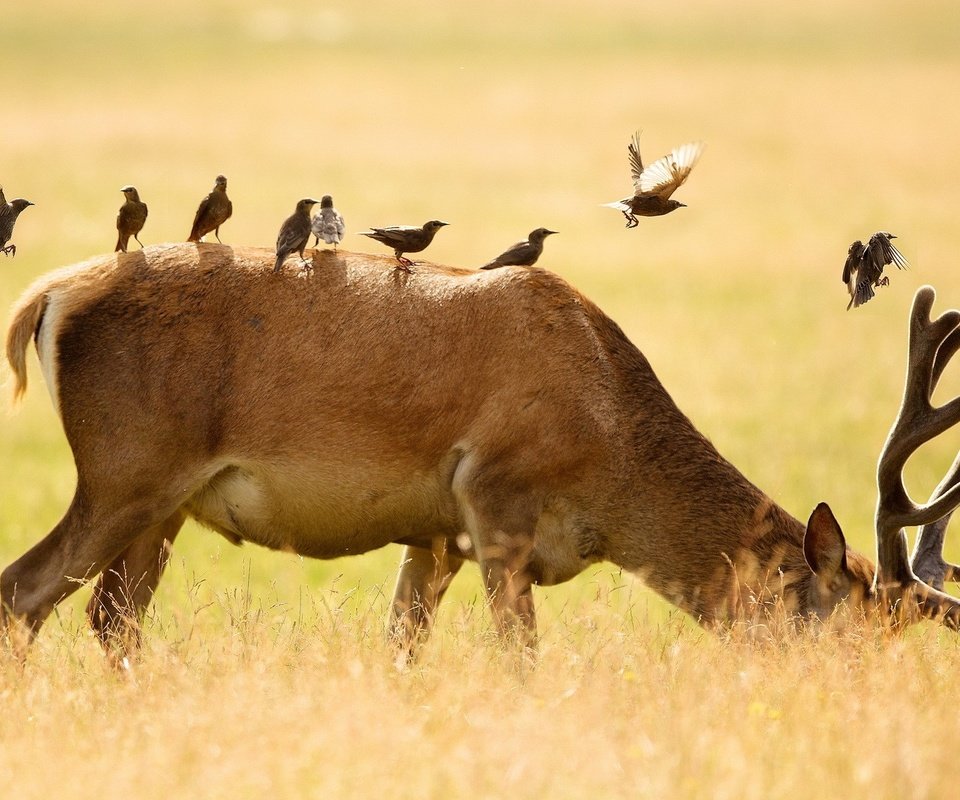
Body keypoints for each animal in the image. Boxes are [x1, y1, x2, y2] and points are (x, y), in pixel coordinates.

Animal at [1, 244, 960, 656]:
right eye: (847, 642)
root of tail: (47, 296)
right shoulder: (496, 494)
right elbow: (519, 656)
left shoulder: (435, 534)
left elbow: (401, 646)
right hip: (127, 471)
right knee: (24, 593)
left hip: (162, 506)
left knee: (110, 620)